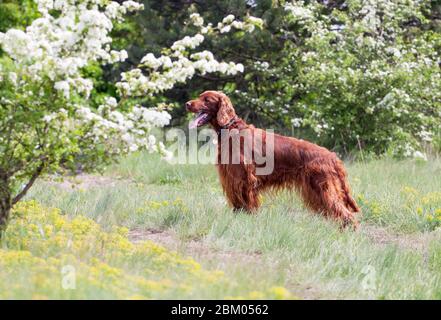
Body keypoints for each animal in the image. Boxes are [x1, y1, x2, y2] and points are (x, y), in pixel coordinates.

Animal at [184, 91, 360, 229]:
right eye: (200, 96)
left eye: (207, 99)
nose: (187, 104)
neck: (232, 129)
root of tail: (333, 156)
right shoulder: (233, 179)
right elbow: (239, 205)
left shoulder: (243, 179)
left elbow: (248, 204)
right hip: (316, 191)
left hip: (323, 187)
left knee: (345, 213)